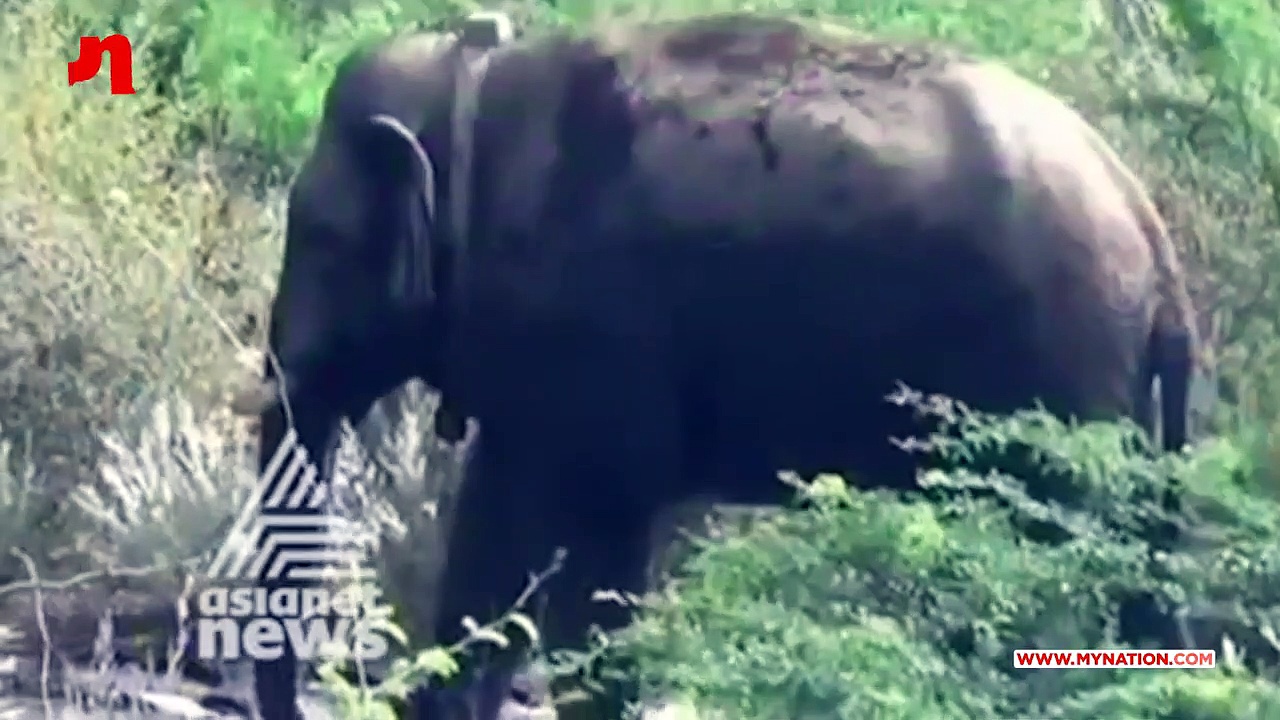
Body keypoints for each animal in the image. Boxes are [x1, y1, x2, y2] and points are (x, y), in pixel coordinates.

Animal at [230, 11, 1201, 720]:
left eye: (320, 239)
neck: (473, 83)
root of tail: (1154, 238)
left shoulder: (595, 328)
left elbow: (596, 537)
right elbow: (491, 532)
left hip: (1059, 384)